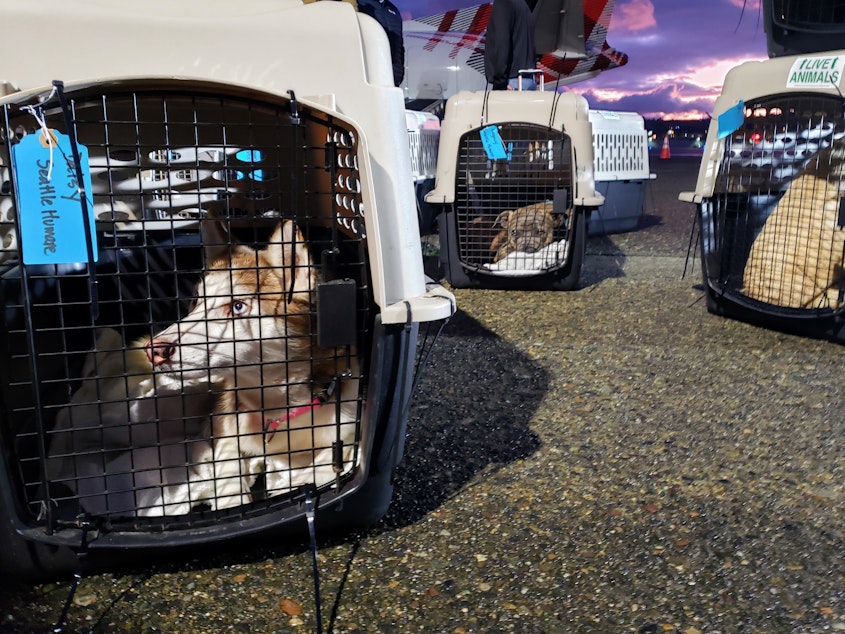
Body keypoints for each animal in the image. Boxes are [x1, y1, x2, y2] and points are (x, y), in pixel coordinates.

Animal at [145, 220, 356, 512]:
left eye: (237, 306)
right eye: (196, 301)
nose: (154, 350)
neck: (275, 409)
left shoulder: (347, 422)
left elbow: (329, 461)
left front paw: (293, 484)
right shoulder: (222, 428)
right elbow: (228, 467)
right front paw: (233, 500)